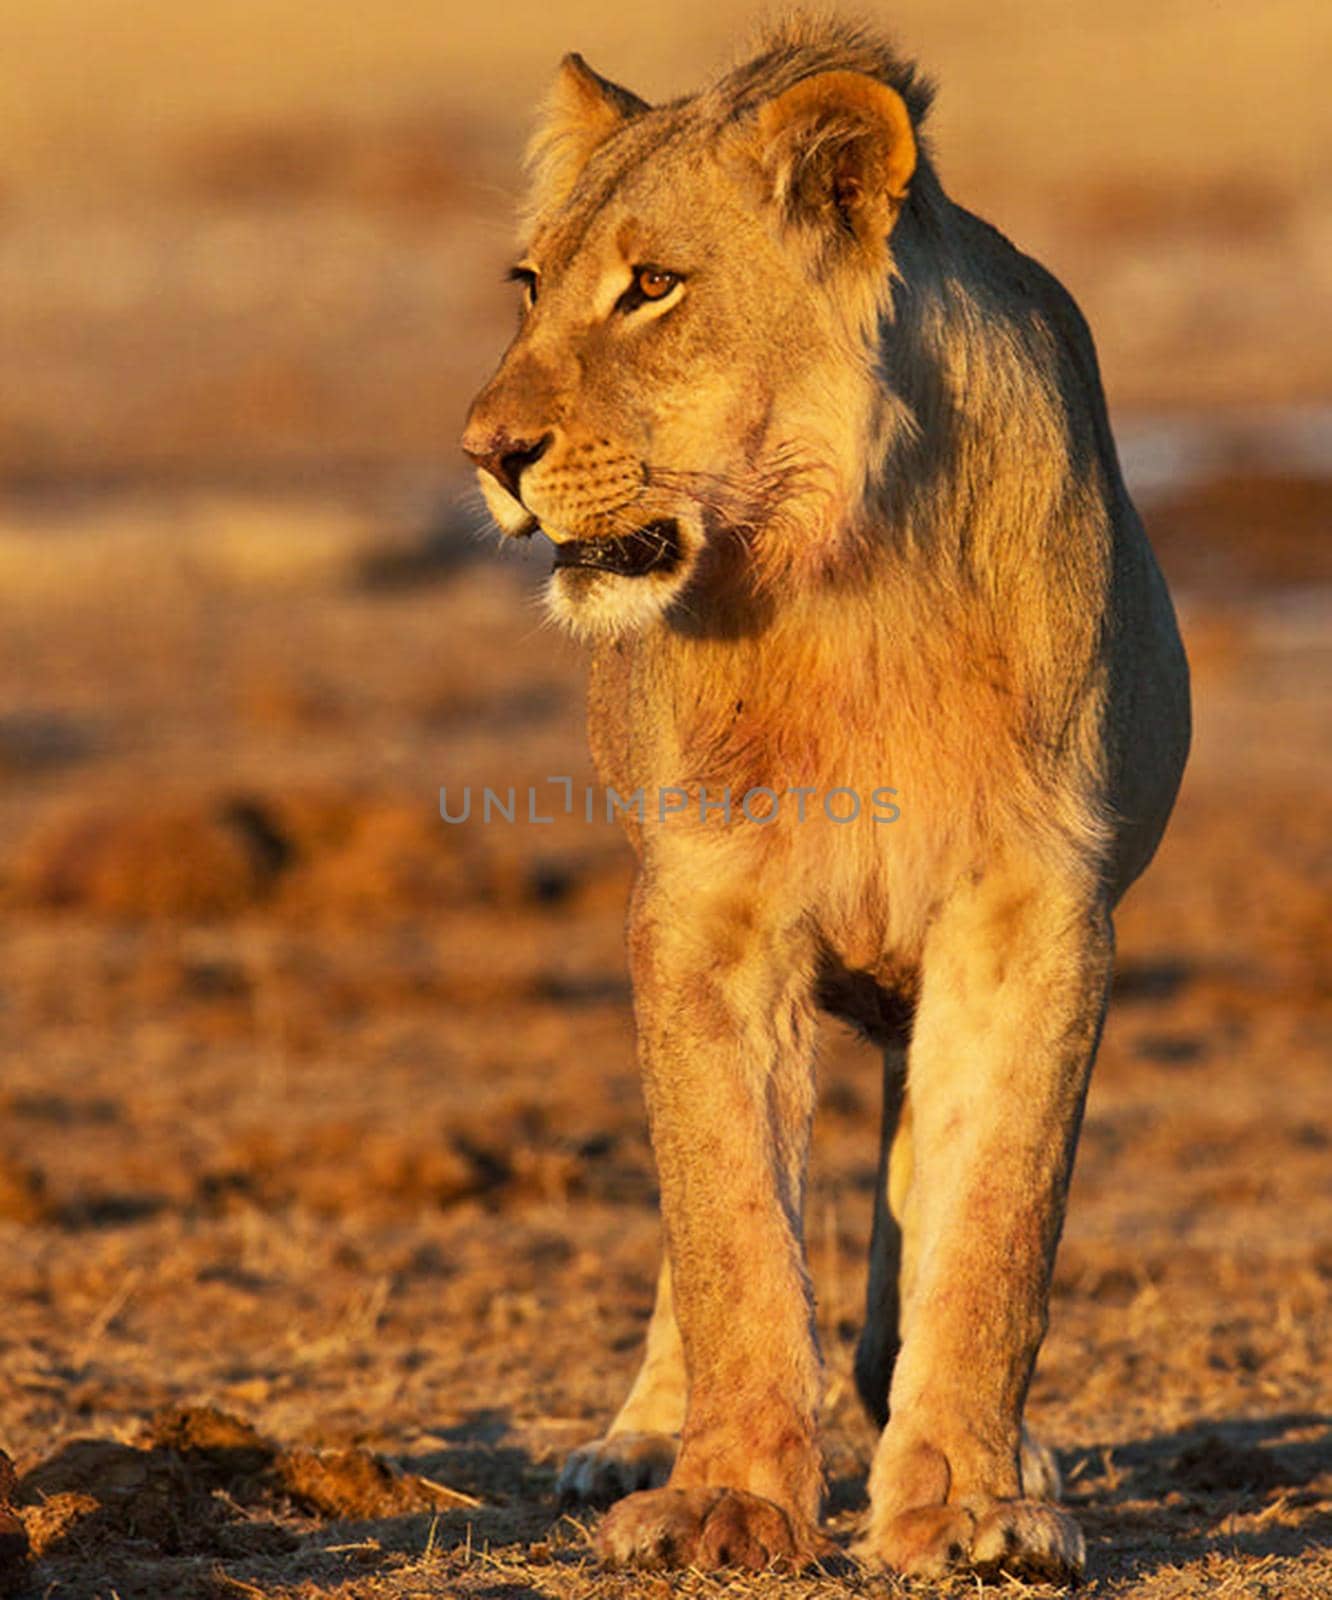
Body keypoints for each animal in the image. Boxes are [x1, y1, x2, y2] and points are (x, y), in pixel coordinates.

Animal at [464, 15, 1191, 1587]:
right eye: (531, 286)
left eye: (654, 286)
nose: (486, 457)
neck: (843, 584)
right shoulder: (704, 914)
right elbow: (732, 1228)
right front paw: (720, 1500)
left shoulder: (1034, 916)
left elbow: (996, 1226)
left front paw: (974, 1505)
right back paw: (636, 1436)